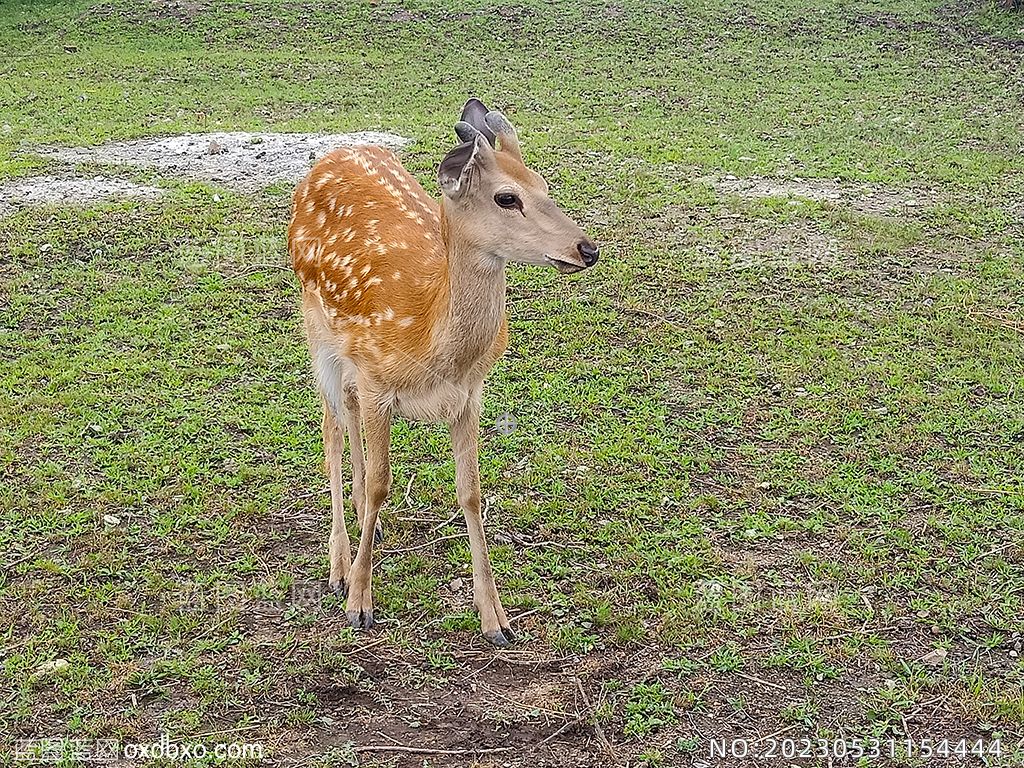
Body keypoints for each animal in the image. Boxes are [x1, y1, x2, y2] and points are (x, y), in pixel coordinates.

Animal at [284, 97, 598, 651]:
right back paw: (340, 562)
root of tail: (331, 155)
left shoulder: (468, 395)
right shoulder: (377, 381)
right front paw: (359, 602)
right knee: (331, 427)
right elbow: (382, 481)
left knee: (345, 416)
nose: (587, 249)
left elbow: (471, 492)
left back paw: (368, 528)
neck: (431, 341)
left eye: (544, 185)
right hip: (316, 325)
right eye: (506, 197)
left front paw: (495, 617)